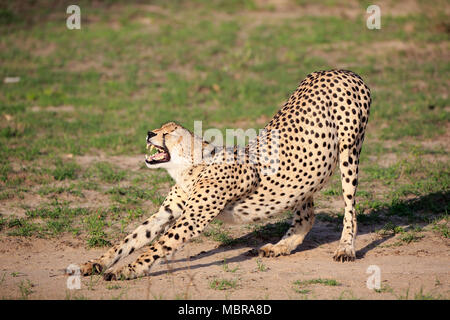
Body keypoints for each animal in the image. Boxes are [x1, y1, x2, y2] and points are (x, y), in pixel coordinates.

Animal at [78, 69, 372, 280]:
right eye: (160, 127)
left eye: (169, 133)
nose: (150, 133)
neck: (188, 169)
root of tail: (341, 70)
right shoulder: (167, 212)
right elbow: (130, 240)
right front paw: (96, 263)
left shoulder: (192, 219)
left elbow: (157, 247)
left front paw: (125, 270)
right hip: (305, 174)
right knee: (307, 214)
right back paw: (280, 246)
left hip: (349, 153)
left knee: (349, 207)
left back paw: (346, 248)